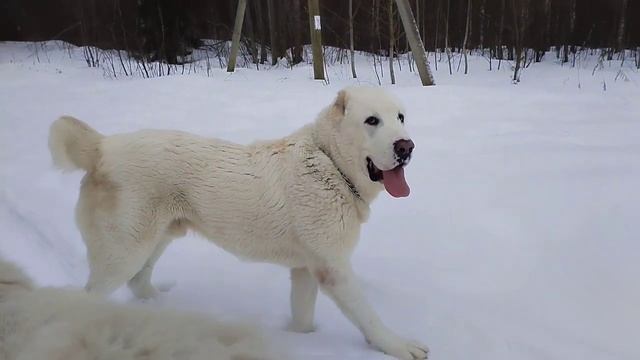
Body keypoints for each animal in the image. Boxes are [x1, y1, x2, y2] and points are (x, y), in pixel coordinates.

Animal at [48, 86, 430, 358]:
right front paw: (398, 346)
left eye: (400, 117)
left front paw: (303, 341)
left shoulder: (307, 269)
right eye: (372, 121)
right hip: (124, 252)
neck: (330, 164)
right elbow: (369, 317)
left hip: (155, 240)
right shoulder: (333, 269)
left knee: (139, 282)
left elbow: (303, 318)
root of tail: (102, 147)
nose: (406, 146)